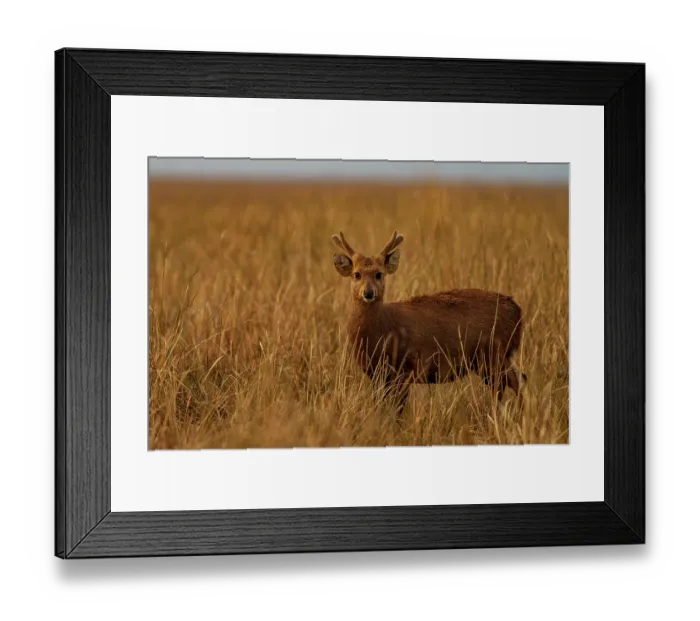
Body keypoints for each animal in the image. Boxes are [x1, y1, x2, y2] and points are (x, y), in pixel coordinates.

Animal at [332, 230, 527, 416]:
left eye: (379, 274)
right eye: (356, 274)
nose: (368, 293)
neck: (382, 330)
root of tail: (516, 310)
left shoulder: (405, 368)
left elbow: (398, 409)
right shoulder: (377, 374)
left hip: (492, 353)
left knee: (511, 383)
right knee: (517, 379)